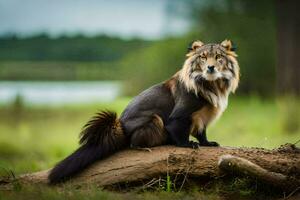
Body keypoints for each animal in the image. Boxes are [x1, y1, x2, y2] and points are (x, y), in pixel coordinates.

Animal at [49, 38, 241, 184]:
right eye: (202, 57)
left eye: (218, 57)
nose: (210, 68)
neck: (211, 84)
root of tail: (119, 129)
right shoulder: (180, 116)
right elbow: (180, 133)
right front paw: (187, 144)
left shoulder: (202, 118)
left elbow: (202, 134)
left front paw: (208, 143)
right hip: (154, 119)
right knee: (133, 144)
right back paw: (146, 148)